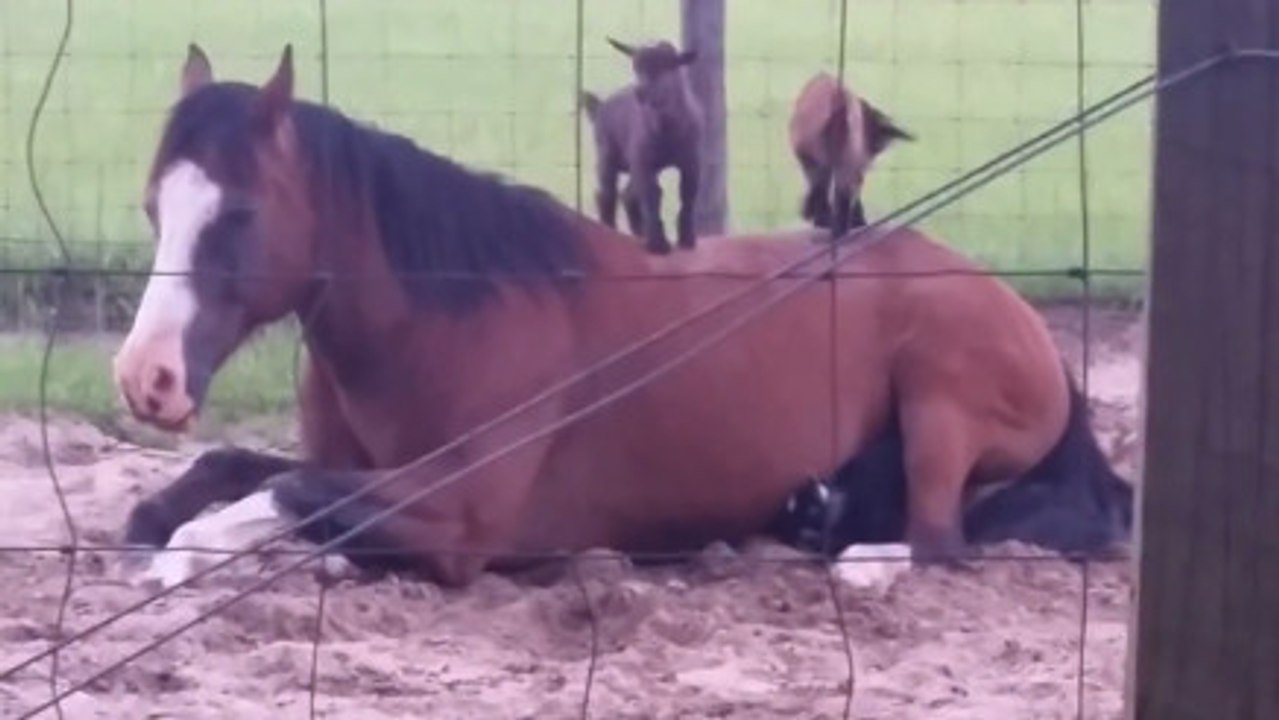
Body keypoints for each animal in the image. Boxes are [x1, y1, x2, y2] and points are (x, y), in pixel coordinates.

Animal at [581, 38, 702, 254]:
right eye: (636, 67)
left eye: (668, 65)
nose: (640, 91)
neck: (667, 132)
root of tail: (600, 106)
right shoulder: (643, 160)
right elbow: (652, 196)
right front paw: (658, 244)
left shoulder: (691, 161)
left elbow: (688, 195)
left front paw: (687, 239)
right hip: (607, 153)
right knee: (606, 194)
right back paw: (611, 229)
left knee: (627, 195)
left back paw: (638, 232)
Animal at [789, 71, 913, 237]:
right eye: (877, 145)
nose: (875, 150)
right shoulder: (853, 160)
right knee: (840, 191)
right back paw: (840, 228)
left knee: (828, 189)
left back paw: (833, 227)